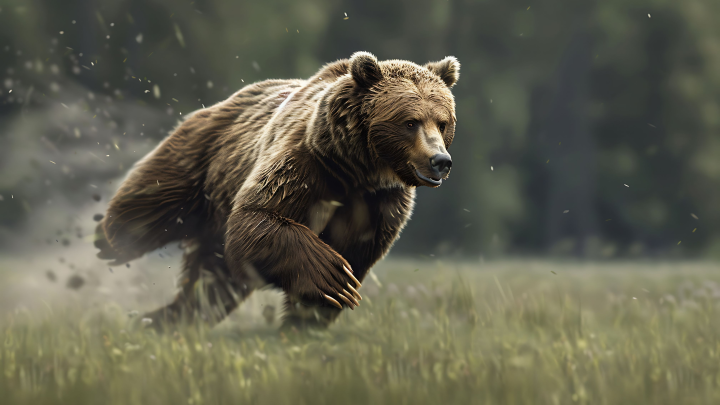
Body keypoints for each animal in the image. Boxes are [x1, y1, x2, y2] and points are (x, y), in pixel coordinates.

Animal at [94, 51, 459, 330]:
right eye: (410, 122)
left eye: (442, 121)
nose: (440, 160)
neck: (355, 169)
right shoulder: (304, 163)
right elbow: (259, 216)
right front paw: (330, 276)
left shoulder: (379, 204)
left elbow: (353, 255)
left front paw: (309, 317)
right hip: (205, 153)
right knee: (151, 202)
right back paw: (106, 241)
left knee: (214, 278)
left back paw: (162, 318)